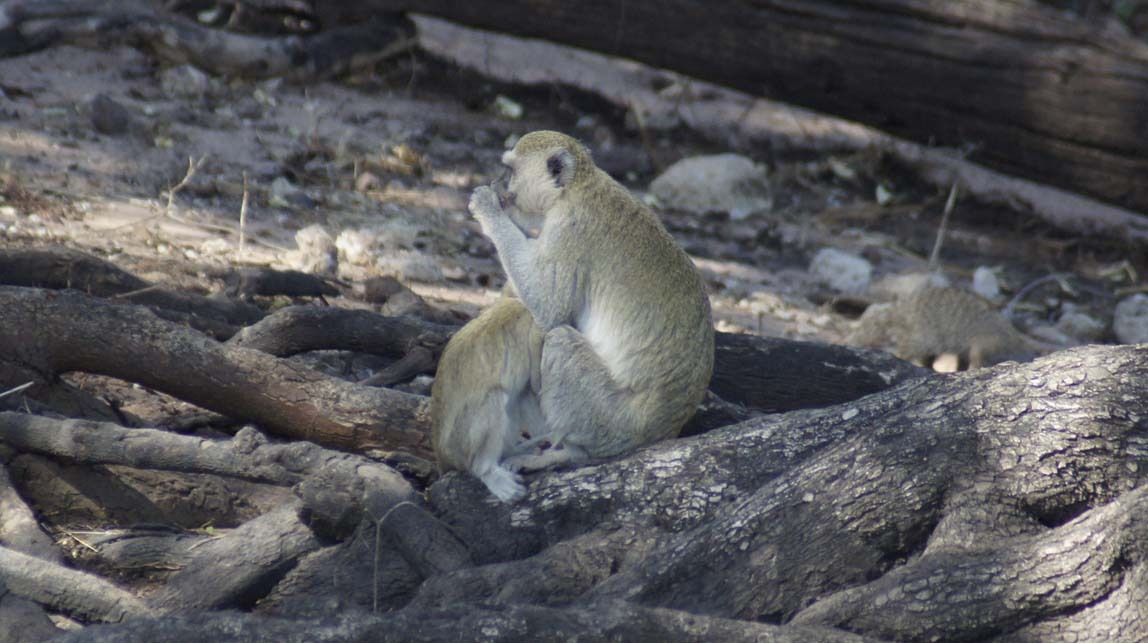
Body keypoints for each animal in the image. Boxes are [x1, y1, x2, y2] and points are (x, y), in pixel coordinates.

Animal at [431, 296, 544, 502]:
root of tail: (442, 458)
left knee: (519, 393)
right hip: (458, 447)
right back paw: (486, 471)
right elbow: (537, 385)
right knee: (495, 396)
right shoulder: (539, 333)